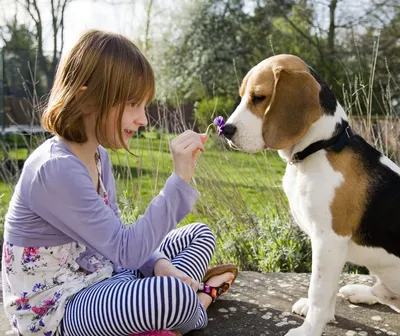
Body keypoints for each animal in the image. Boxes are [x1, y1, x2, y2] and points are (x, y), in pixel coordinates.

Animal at [222, 54, 400, 336]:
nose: (225, 130)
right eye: (242, 96)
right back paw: (362, 292)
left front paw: (309, 329)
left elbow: (319, 290)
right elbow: (327, 291)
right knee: (382, 293)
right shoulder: (330, 247)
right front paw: (322, 316)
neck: (321, 147)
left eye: (259, 97)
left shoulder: (328, 240)